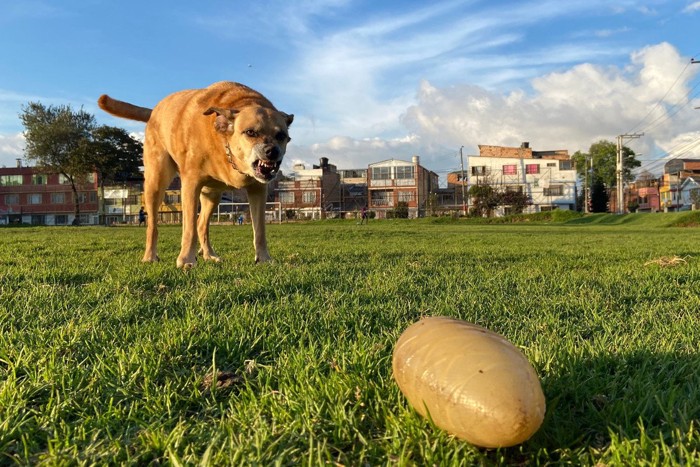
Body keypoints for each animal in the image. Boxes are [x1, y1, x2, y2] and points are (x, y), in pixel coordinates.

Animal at [98, 82, 292, 268]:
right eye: (251, 132)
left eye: (281, 135)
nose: (272, 151)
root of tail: (154, 111)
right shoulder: (191, 184)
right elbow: (188, 228)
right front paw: (186, 259)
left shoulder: (258, 189)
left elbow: (260, 230)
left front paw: (264, 259)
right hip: (156, 181)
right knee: (153, 225)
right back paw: (150, 257)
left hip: (212, 194)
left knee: (201, 225)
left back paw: (209, 255)